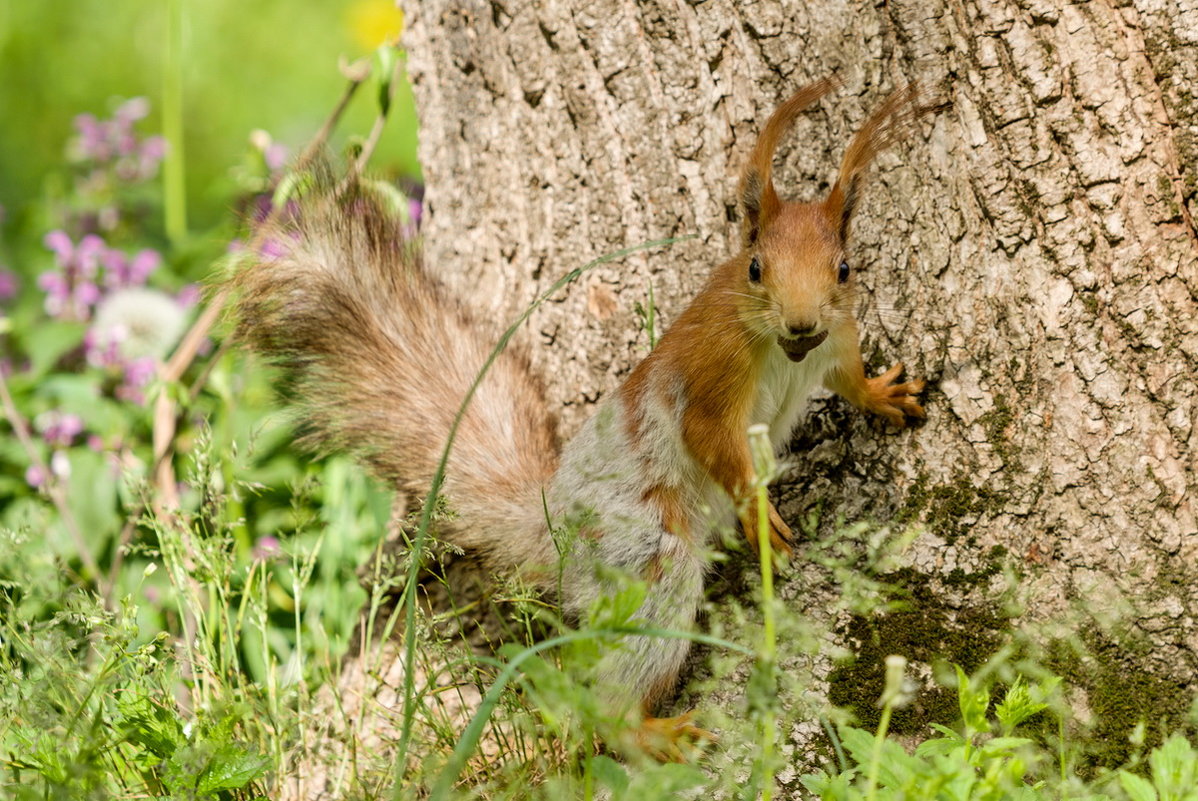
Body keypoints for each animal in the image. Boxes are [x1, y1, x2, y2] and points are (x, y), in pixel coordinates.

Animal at [228, 77, 929, 761]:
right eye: (757, 269)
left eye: (844, 268)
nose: (802, 324)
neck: (786, 352)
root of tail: (553, 525)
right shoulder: (713, 368)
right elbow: (708, 438)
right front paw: (760, 514)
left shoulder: (840, 339)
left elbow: (846, 377)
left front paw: (882, 395)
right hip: (643, 550)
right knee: (618, 677)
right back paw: (648, 733)